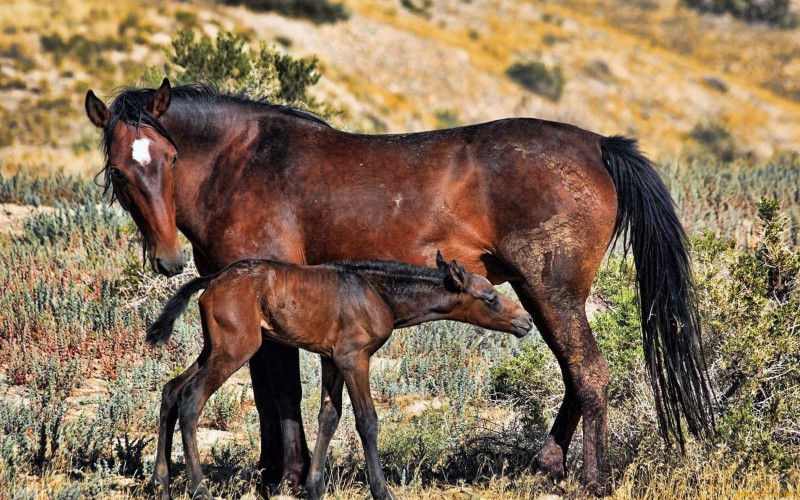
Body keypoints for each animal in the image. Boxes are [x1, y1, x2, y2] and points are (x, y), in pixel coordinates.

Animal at [147, 254, 532, 500]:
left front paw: (314, 487)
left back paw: (161, 484)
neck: (377, 292)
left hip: (214, 347)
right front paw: (382, 490)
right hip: (235, 349)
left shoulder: (331, 360)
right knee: (191, 399)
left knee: (170, 390)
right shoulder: (354, 358)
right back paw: (199, 489)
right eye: (489, 297)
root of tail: (212, 280)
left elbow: (328, 417)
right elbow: (367, 420)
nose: (526, 320)